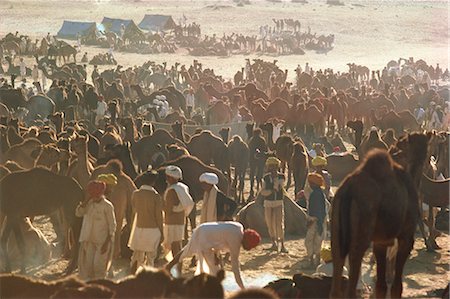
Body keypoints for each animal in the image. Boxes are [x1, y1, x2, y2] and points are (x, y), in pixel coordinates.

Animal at [330, 134, 428, 299]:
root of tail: (348, 190)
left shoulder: (380, 242)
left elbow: (380, 286)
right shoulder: (406, 237)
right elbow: (396, 287)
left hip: (336, 229)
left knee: (337, 262)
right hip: (362, 228)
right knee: (354, 262)